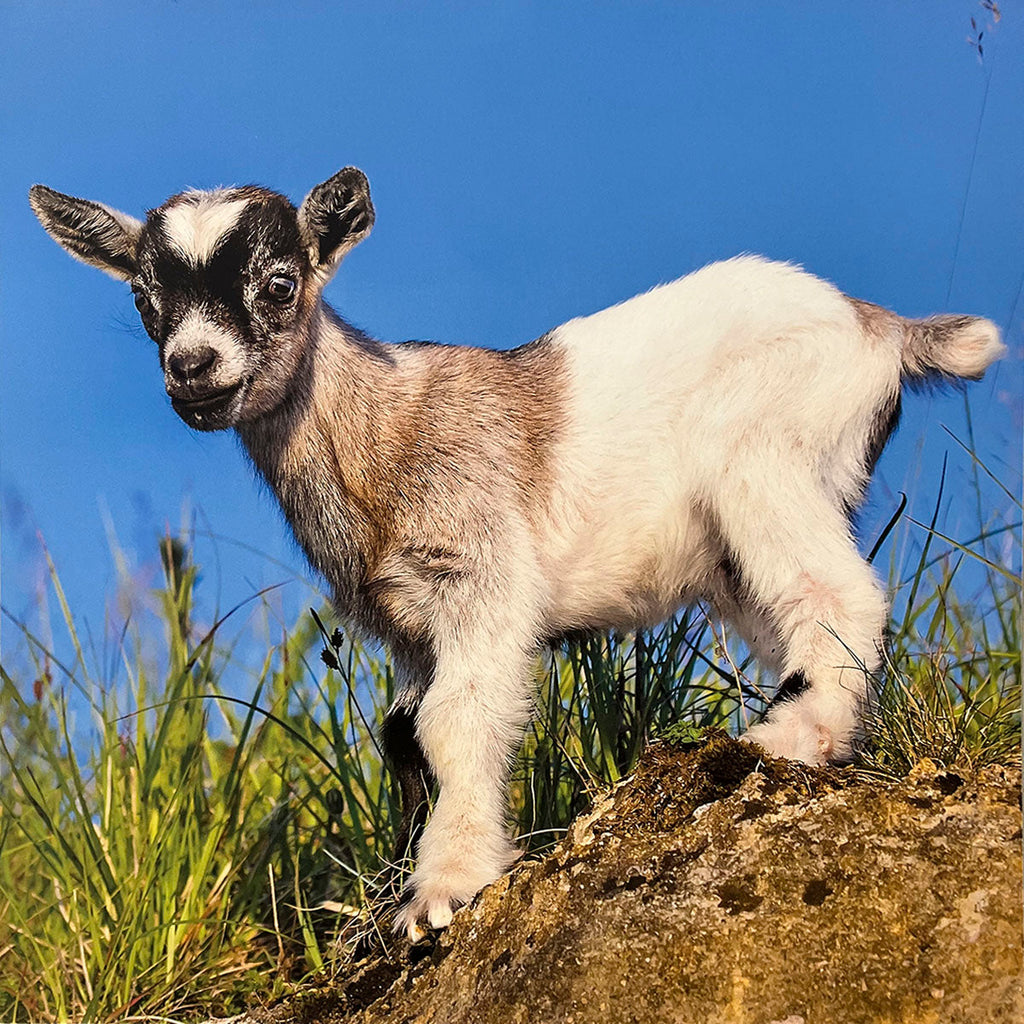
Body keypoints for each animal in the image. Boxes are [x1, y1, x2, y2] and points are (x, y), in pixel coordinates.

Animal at [29, 168, 1005, 939]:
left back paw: (794, 737)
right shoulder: (407, 627)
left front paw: (444, 890)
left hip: (767, 460)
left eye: (278, 283)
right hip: (744, 541)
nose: (192, 368)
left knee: (841, 592)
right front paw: (399, 883)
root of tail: (882, 327)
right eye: (143, 301)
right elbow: (401, 737)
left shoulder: (479, 580)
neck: (381, 434)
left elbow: (456, 720)